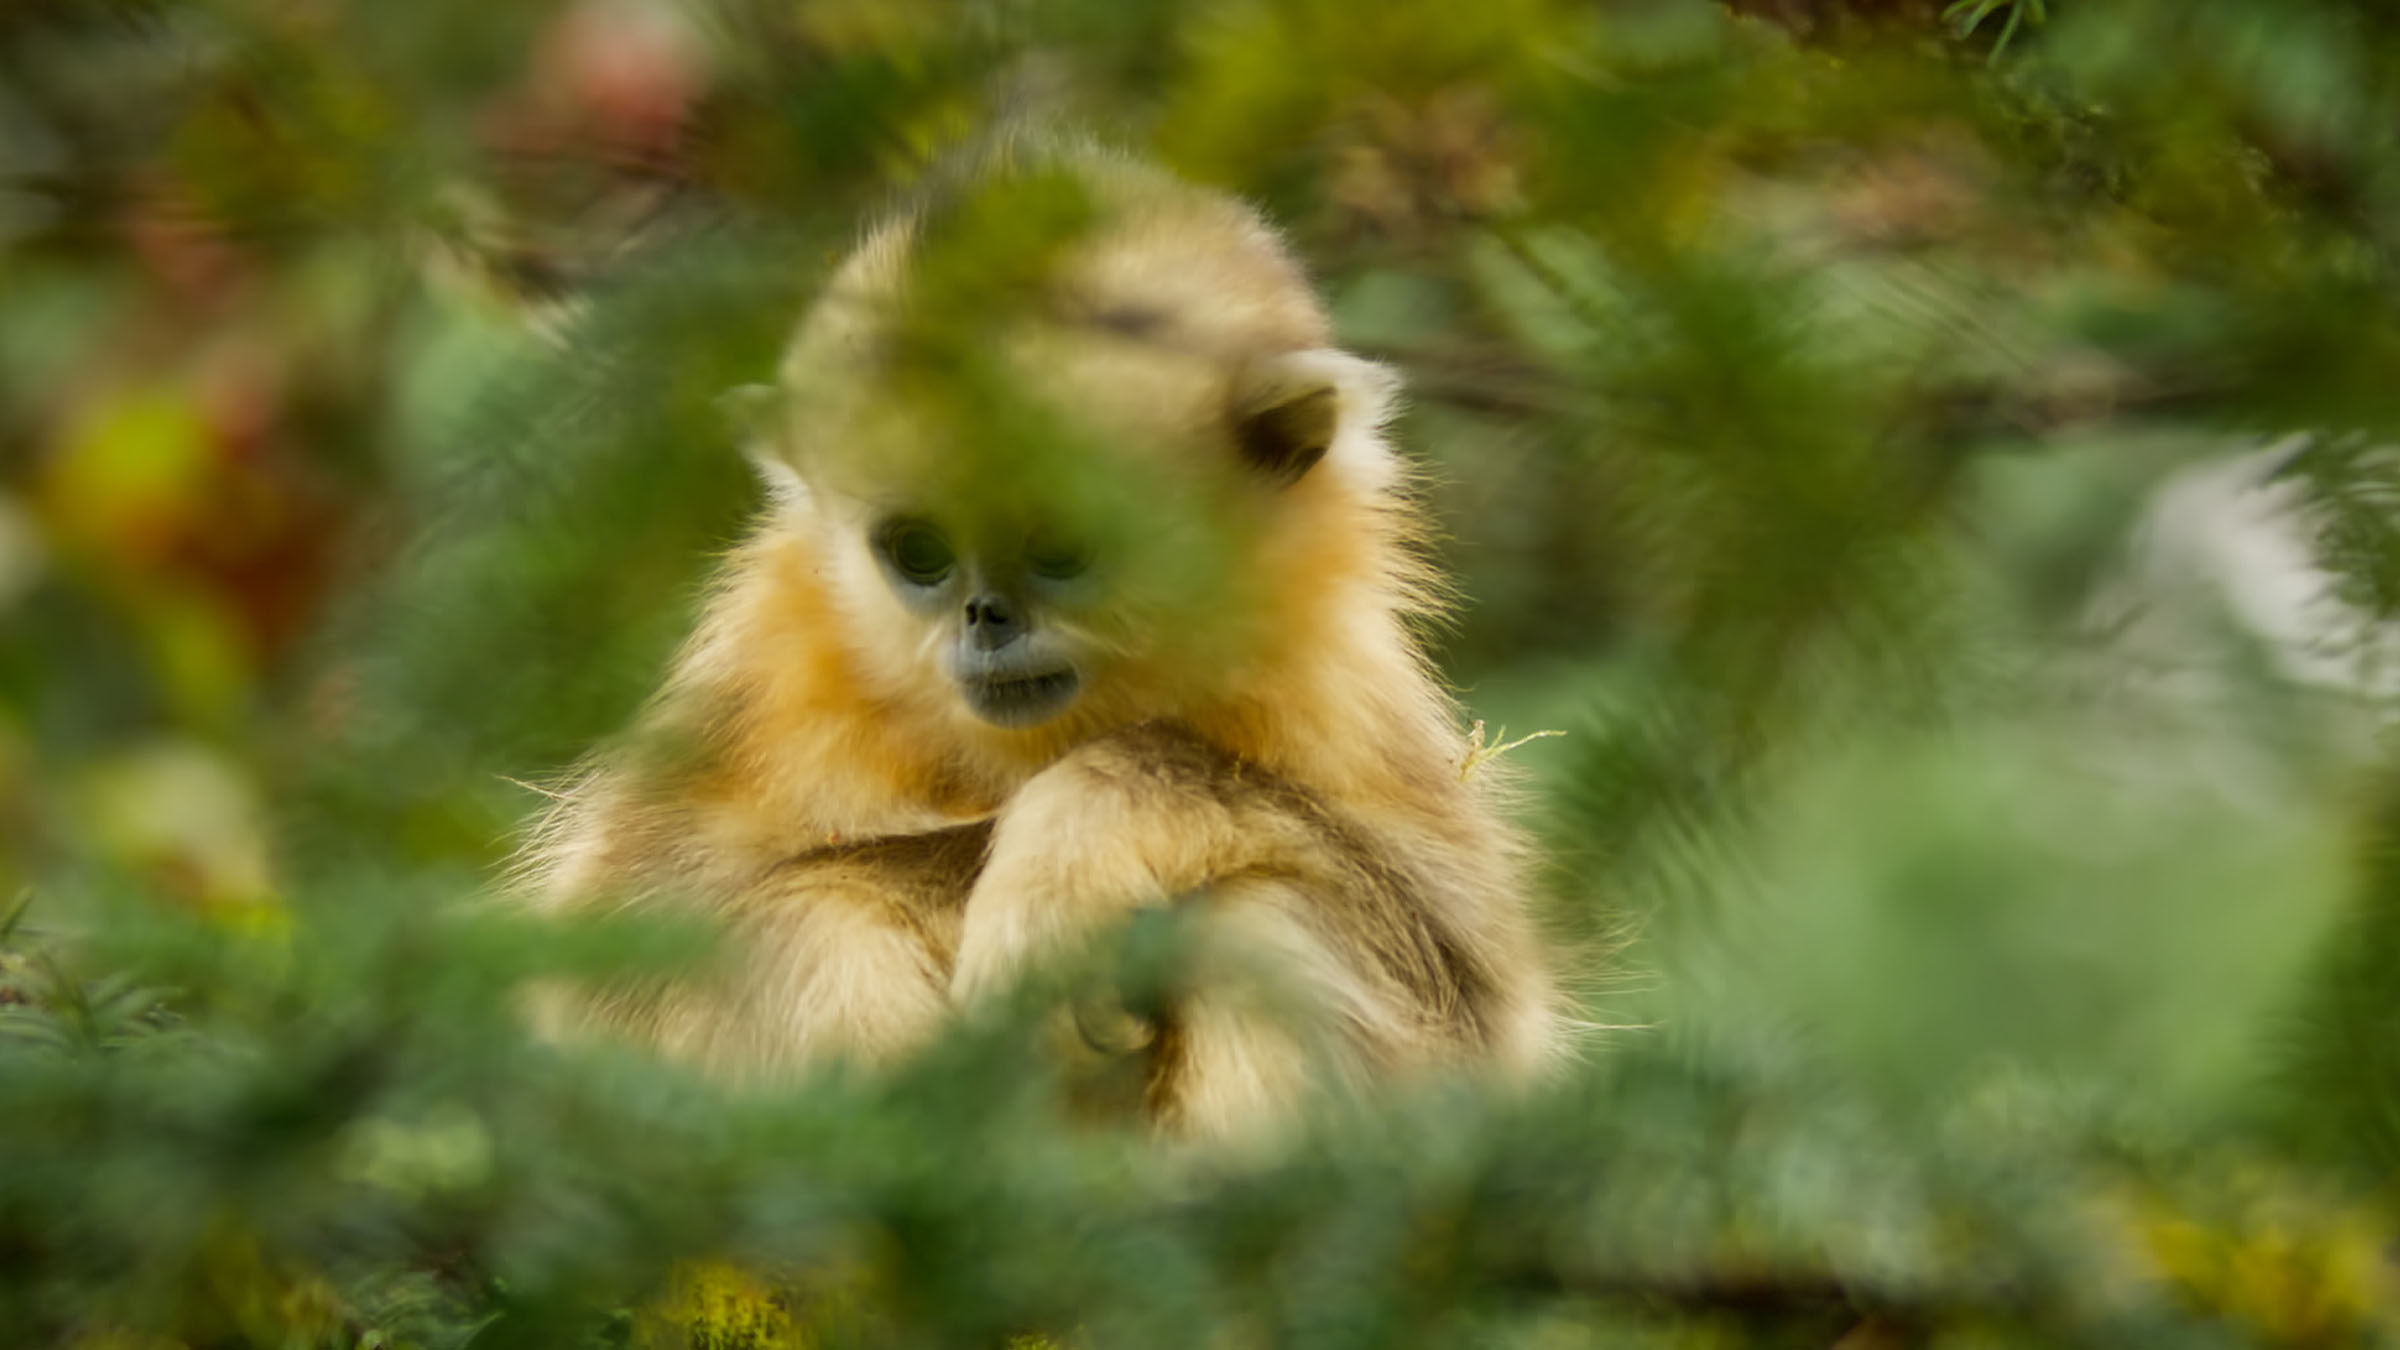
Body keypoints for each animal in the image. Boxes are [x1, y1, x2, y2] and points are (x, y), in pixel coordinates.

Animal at [518, 147, 1564, 1133]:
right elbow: (618, 975)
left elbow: (1465, 974)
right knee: (803, 919)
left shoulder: (1336, 671)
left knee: (1268, 913)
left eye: (1061, 547)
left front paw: (1063, 871)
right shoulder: (773, 650)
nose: (986, 616)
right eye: (921, 552)